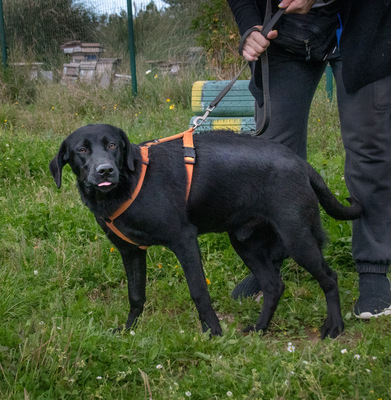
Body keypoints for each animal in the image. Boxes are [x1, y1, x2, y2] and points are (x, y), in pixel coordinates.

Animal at [50, 123, 362, 340]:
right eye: (81, 150)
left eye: (113, 145)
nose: (105, 171)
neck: (130, 182)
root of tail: (301, 164)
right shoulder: (131, 252)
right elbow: (136, 295)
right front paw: (129, 330)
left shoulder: (184, 241)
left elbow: (199, 291)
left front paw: (213, 333)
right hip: (245, 243)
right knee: (274, 285)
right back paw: (260, 328)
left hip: (297, 238)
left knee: (329, 278)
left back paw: (334, 326)